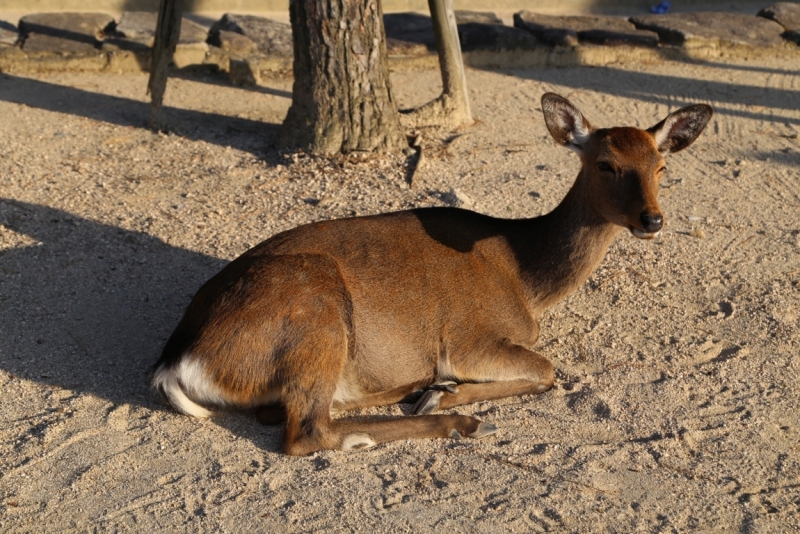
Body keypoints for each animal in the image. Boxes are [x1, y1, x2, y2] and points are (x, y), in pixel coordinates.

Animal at [150, 93, 712, 456]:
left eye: (661, 166)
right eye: (605, 164)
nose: (652, 220)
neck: (527, 280)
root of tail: (178, 360)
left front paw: (440, 388)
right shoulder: (470, 337)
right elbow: (547, 369)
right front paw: (450, 393)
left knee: (288, 411)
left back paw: (414, 392)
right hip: (317, 315)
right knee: (304, 431)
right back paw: (454, 420)